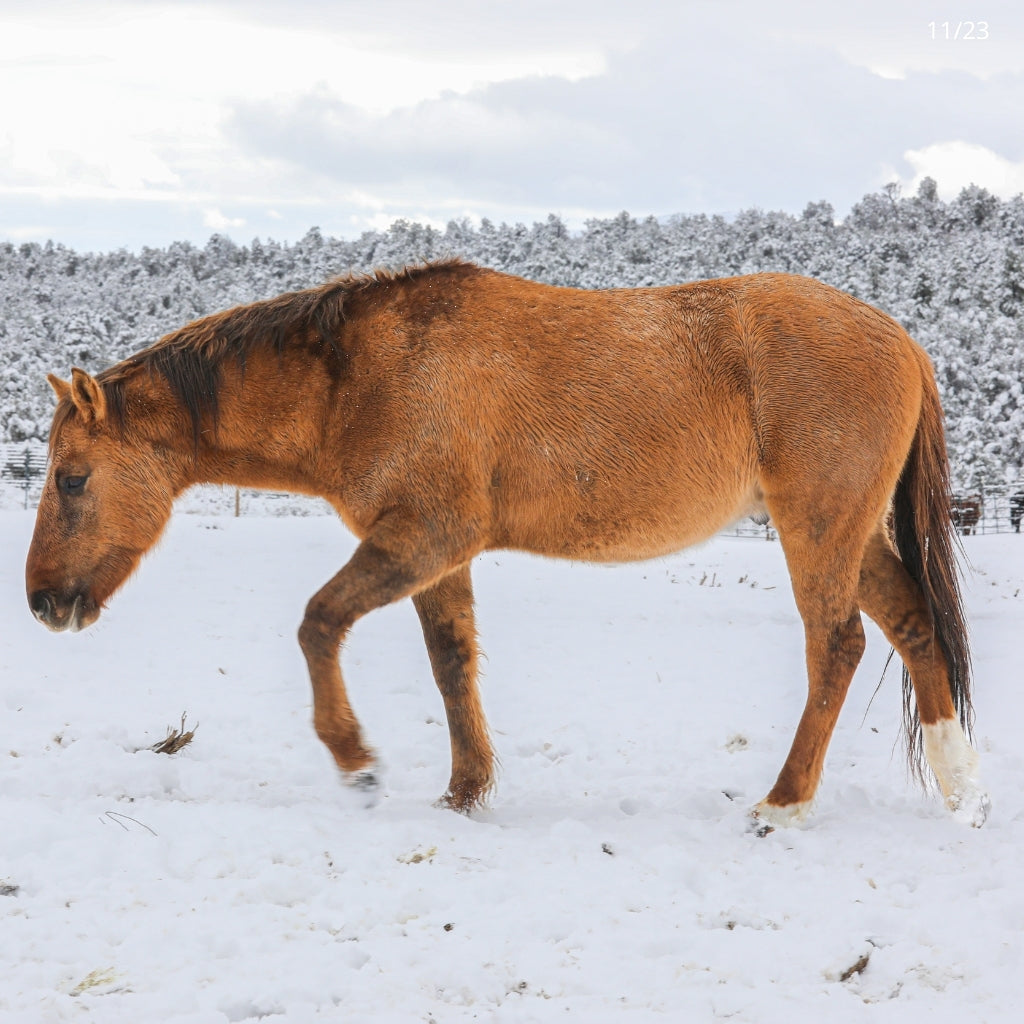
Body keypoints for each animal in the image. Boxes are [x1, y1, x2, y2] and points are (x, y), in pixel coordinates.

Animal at [24, 260, 987, 827]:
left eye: (72, 479)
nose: (41, 602)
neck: (362, 377)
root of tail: (900, 339)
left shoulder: (422, 537)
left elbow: (317, 622)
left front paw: (357, 762)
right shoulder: (437, 556)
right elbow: (452, 664)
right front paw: (464, 790)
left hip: (818, 527)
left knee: (838, 644)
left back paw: (784, 803)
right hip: (852, 533)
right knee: (913, 628)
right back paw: (960, 786)